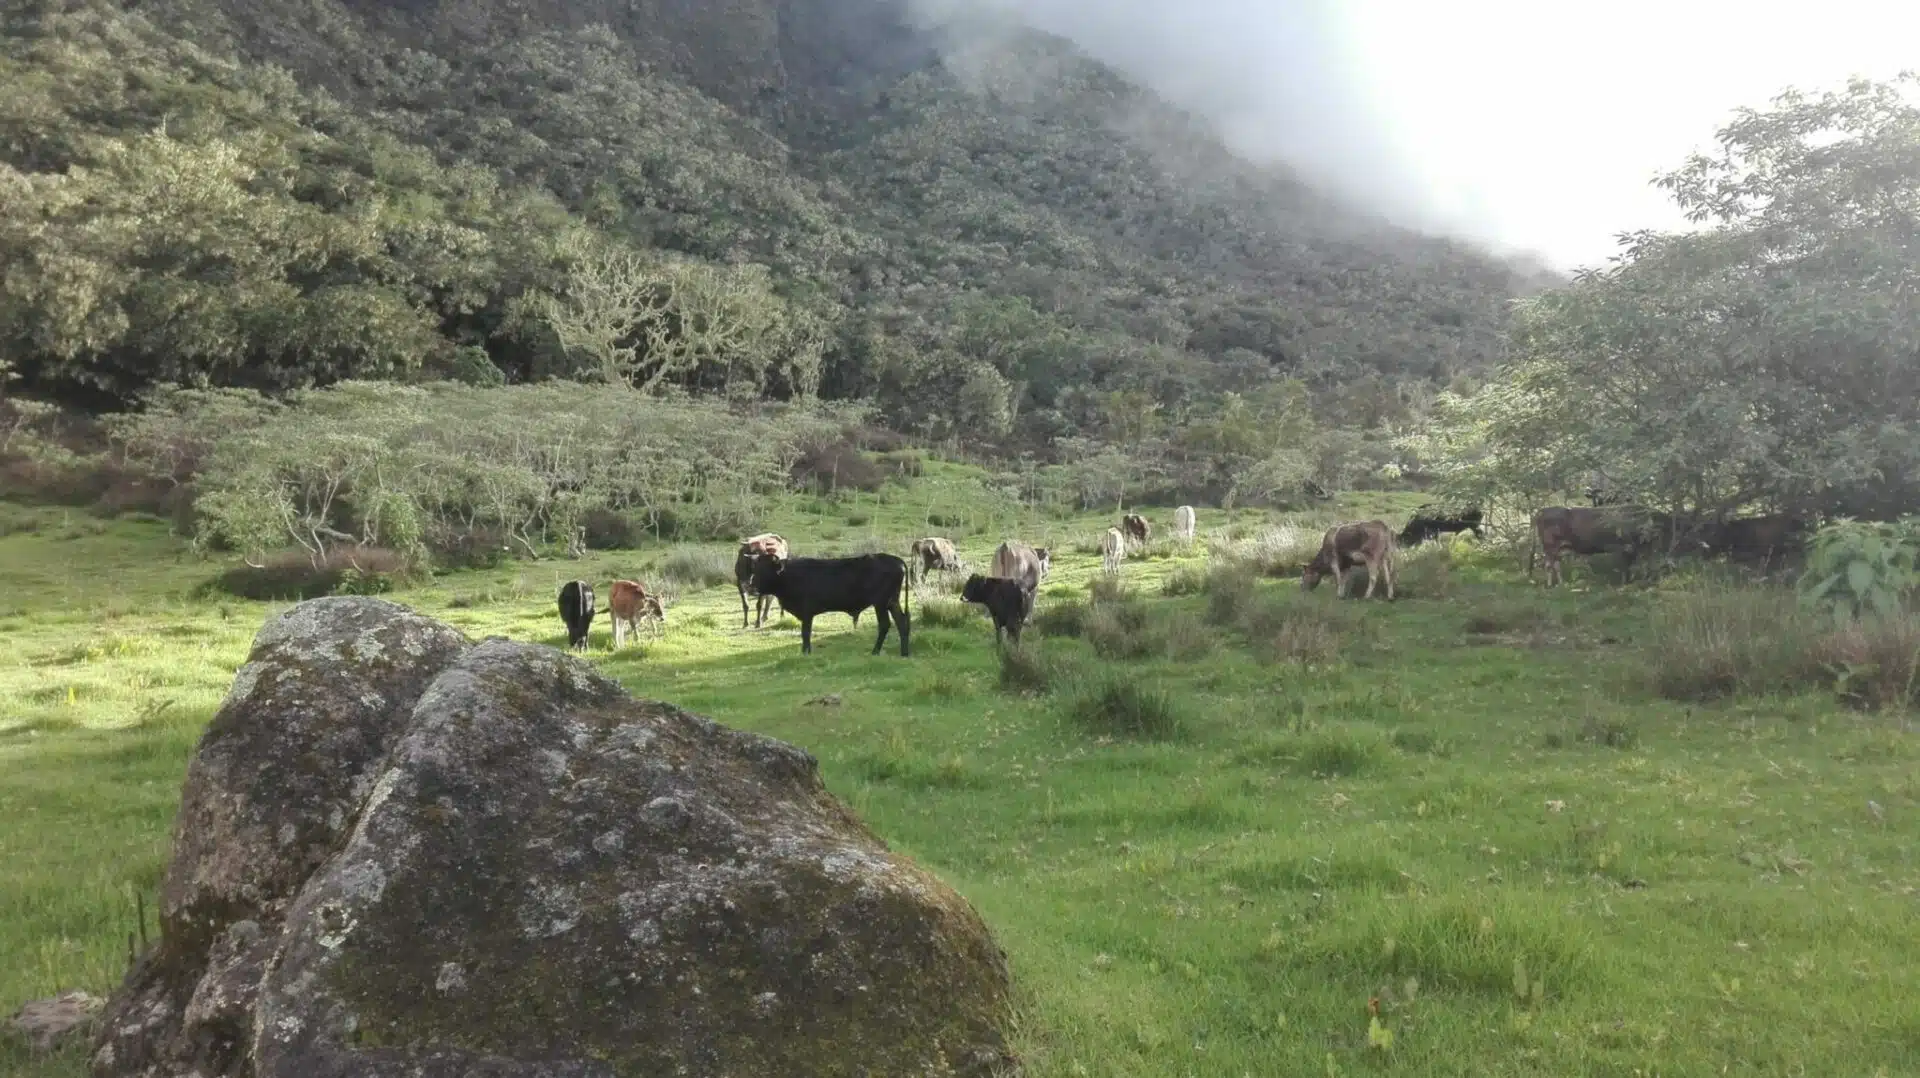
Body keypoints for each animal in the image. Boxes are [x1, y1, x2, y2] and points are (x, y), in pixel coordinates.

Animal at [744, 553, 910, 657]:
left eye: (764, 570)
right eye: (755, 569)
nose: (751, 587)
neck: (788, 575)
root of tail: (897, 560)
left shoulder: (807, 612)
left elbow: (805, 633)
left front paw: (805, 652)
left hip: (880, 603)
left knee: (885, 624)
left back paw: (875, 652)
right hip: (892, 602)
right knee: (901, 622)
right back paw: (904, 653)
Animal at [1528, 503, 1697, 584]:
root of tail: (1542, 511)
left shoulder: (1637, 548)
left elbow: (1639, 564)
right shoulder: (1627, 547)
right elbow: (1627, 566)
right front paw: (1626, 582)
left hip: (1558, 548)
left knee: (1556, 565)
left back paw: (1561, 583)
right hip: (1549, 546)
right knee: (1549, 565)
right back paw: (1551, 584)